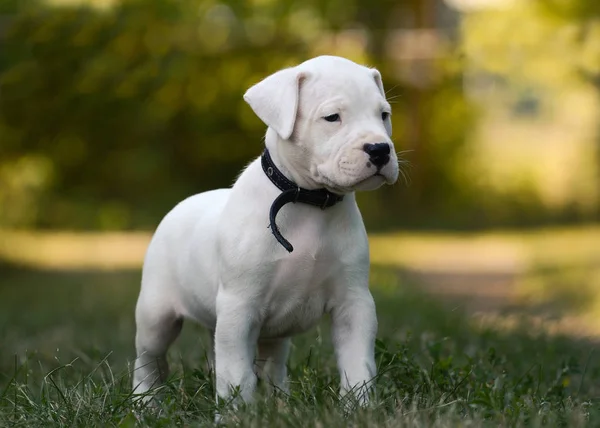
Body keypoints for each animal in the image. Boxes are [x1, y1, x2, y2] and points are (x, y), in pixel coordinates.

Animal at [131, 55, 398, 406]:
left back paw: (279, 402)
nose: (380, 149)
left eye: (383, 115)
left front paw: (360, 407)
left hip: (269, 334)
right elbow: (236, 375)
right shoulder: (239, 308)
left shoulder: (353, 304)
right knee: (148, 360)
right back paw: (143, 403)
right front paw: (236, 412)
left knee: (272, 365)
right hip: (156, 316)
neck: (309, 201)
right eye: (332, 117)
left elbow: (358, 365)